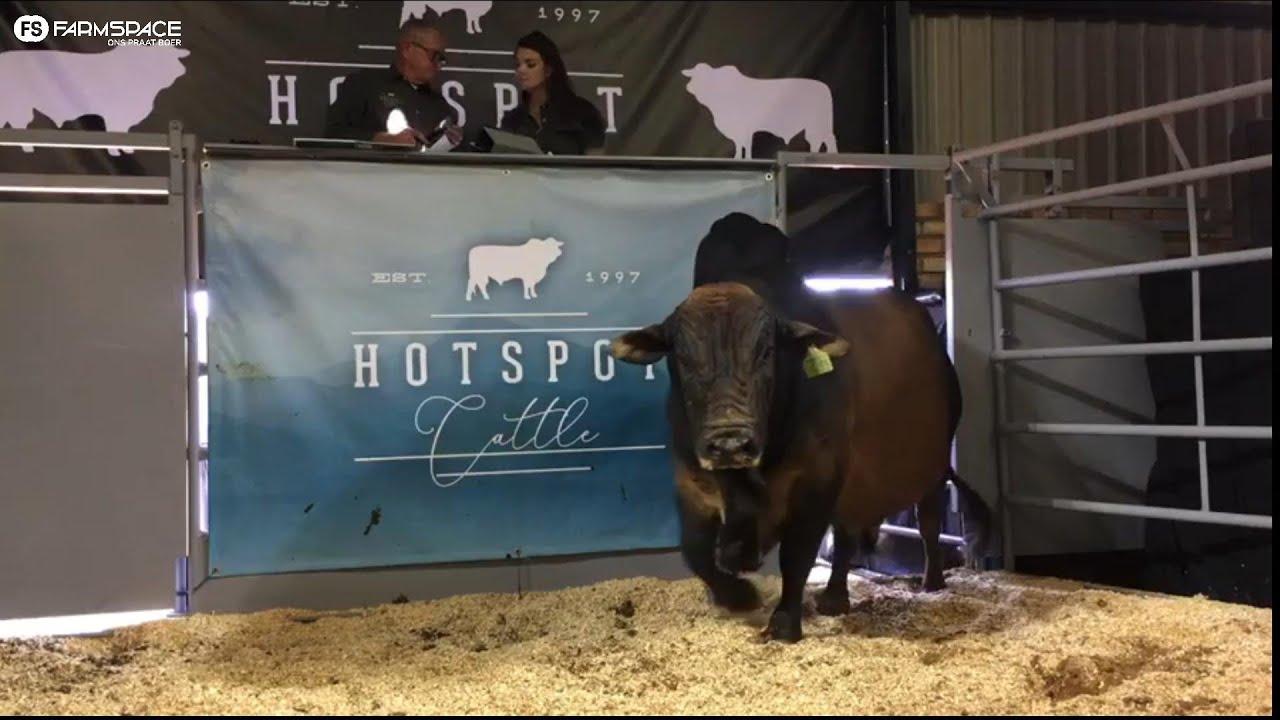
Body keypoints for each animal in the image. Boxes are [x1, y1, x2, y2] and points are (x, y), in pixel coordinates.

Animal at [0, 45, 189, 155]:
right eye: (159, 57)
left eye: (173, 56)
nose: (181, 69)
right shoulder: (115, 114)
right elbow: (115, 132)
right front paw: (116, 152)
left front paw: (127, 150)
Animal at [610, 215, 988, 642]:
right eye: (684, 358)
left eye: (766, 351)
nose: (729, 443)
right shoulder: (692, 482)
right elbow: (695, 550)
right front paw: (738, 596)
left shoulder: (817, 479)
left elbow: (798, 554)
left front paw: (784, 621)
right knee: (847, 534)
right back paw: (836, 597)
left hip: (932, 469)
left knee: (926, 523)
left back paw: (931, 581)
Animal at [681, 63, 838, 159]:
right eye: (693, 75)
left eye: (703, 76)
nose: (689, 86)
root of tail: (824, 87)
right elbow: (739, 145)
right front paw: (738, 157)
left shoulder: (745, 128)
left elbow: (746, 144)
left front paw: (746, 158)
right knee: (820, 140)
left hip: (817, 123)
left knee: (825, 139)